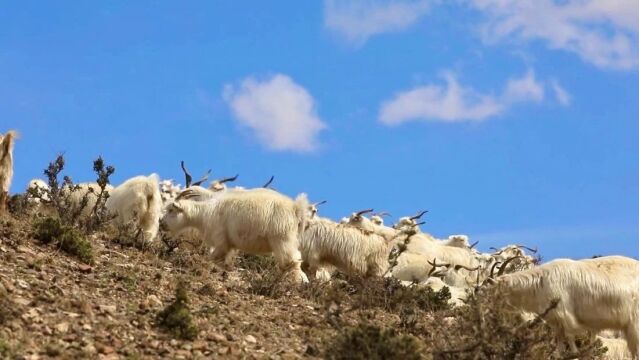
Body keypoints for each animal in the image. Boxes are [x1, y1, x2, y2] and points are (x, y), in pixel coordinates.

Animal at [160, 190, 310, 282]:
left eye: (171, 210)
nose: (161, 223)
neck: (203, 214)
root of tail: (296, 208)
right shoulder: (229, 245)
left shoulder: (221, 241)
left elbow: (214, 258)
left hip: (282, 239)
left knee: (291, 261)